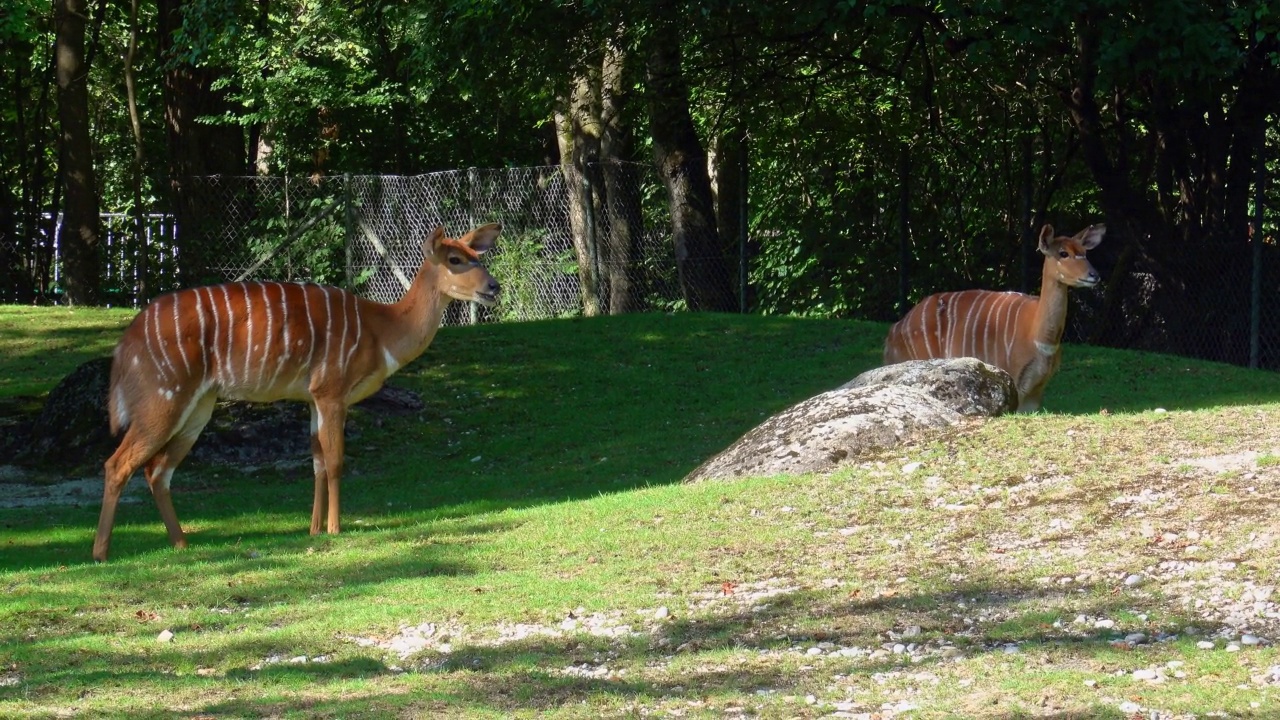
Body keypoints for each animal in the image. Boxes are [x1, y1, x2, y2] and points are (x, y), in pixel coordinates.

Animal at [92, 221, 501, 558]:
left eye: (476, 256)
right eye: (455, 259)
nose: (493, 287)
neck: (381, 329)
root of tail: (125, 345)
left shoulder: (312, 399)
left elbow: (316, 461)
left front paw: (314, 530)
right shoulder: (331, 391)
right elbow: (335, 461)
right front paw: (335, 529)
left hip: (198, 407)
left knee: (157, 470)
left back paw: (181, 544)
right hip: (163, 398)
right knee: (118, 463)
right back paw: (101, 553)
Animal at [885, 221, 1105, 412]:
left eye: (1084, 253)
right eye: (1063, 253)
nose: (1094, 275)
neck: (1038, 335)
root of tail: (893, 332)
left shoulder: (1036, 392)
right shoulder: (1014, 382)